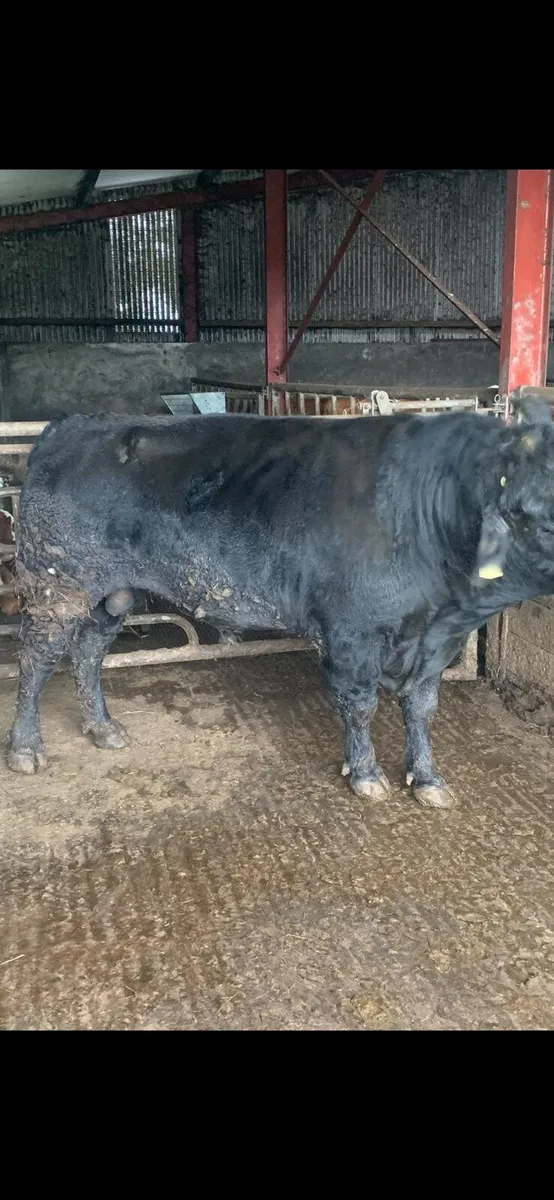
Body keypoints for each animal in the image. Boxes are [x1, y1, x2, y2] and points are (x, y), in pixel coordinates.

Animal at [7, 400, 554, 810]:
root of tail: (74, 424)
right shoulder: (351, 632)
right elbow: (360, 705)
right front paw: (365, 774)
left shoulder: (434, 641)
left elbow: (421, 708)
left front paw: (428, 779)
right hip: (58, 588)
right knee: (36, 660)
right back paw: (25, 748)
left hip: (112, 594)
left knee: (87, 653)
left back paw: (102, 728)